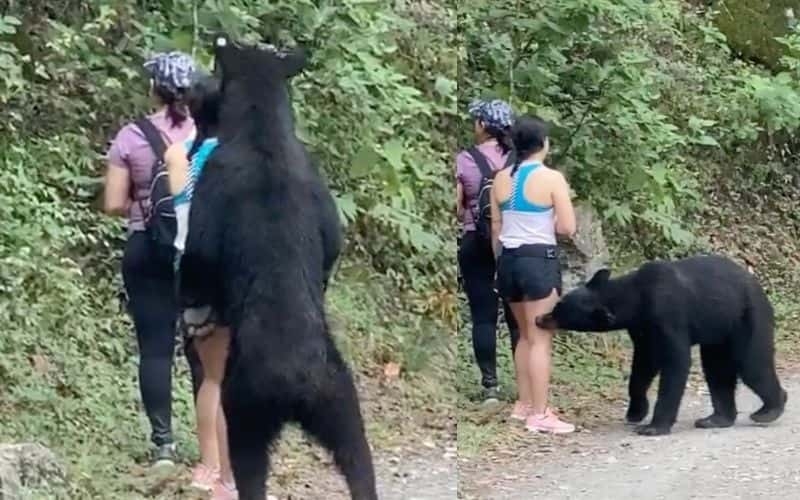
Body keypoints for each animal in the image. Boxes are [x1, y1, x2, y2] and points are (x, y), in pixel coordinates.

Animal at [180, 38, 380, 500]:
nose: (197, 88)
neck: (263, 132)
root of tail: (295, 385)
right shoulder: (319, 188)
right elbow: (332, 245)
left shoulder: (213, 185)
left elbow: (199, 256)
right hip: (339, 396)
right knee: (359, 457)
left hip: (245, 404)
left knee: (249, 463)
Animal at [536, 256, 788, 436]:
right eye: (558, 305)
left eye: (559, 312)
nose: (539, 318)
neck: (635, 299)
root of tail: (758, 285)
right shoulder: (642, 328)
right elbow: (643, 364)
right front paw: (636, 412)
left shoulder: (667, 314)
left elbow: (676, 361)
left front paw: (653, 426)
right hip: (718, 332)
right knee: (716, 369)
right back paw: (716, 419)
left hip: (747, 317)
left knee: (752, 364)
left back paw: (769, 409)